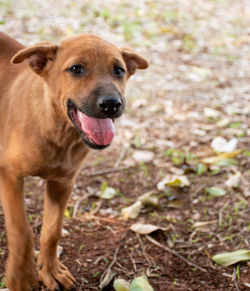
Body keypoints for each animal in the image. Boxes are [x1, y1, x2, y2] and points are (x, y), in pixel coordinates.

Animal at [0, 32, 148, 291]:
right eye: (76, 69)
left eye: (119, 70)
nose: (111, 104)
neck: (57, 131)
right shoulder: (10, 175)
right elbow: (21, 229)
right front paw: (21, 274)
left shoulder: (63, 183)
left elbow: (52, 231)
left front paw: (49, 270)